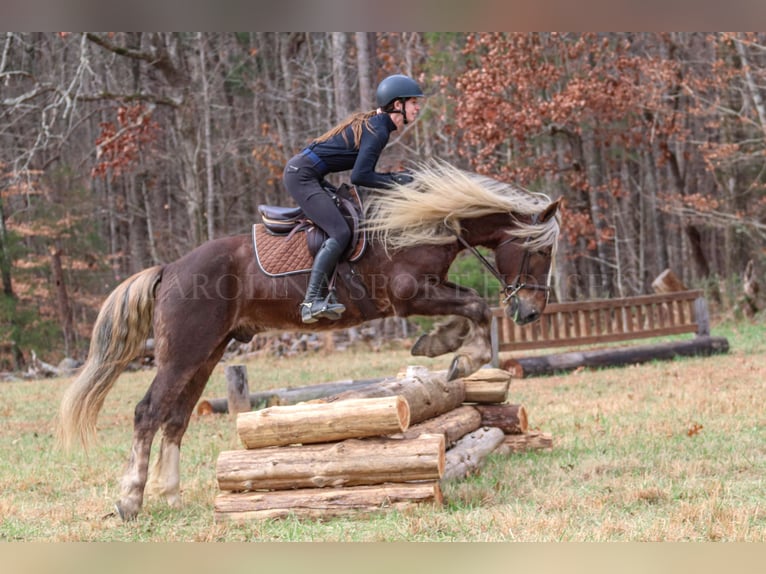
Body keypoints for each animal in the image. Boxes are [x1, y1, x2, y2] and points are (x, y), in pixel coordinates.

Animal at [57, 160, 560, 520]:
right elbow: (477, 305)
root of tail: (169, 269)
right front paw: (459, 355)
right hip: (183, 354)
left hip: (206, 354)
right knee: (148, 412)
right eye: (540, 250)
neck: (429, 220)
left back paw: (172, 496)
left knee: (175, 418)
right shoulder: (410, 294)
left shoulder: (428, 290)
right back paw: (130, 501)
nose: (532, 312)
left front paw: (442, 347)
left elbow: (471, 306)